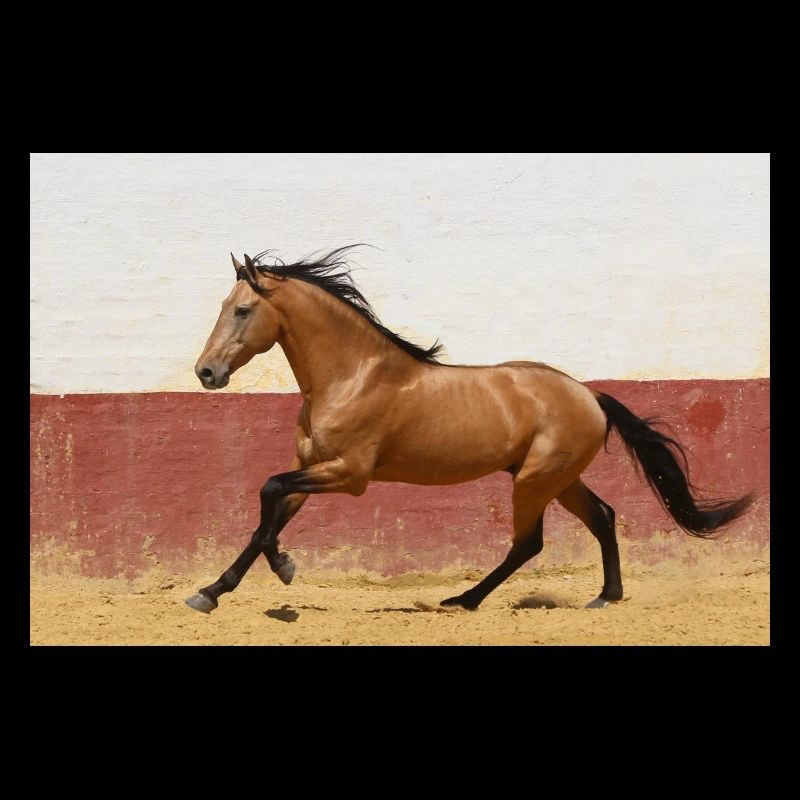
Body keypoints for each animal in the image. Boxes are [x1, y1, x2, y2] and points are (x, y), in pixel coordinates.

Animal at [185, 246, 753, 614]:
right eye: (223, 308)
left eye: (242, 310)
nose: (206, 373)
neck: (352, 375)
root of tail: (589, 395)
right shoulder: (312, 466)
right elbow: (268, 516)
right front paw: (215, 590)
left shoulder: (349, 475)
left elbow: (267, 493)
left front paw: (278, 568)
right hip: (557, 479)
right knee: (603, 517)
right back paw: (604, 598)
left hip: (534, 481)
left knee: (529, 543)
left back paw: (464, 599)